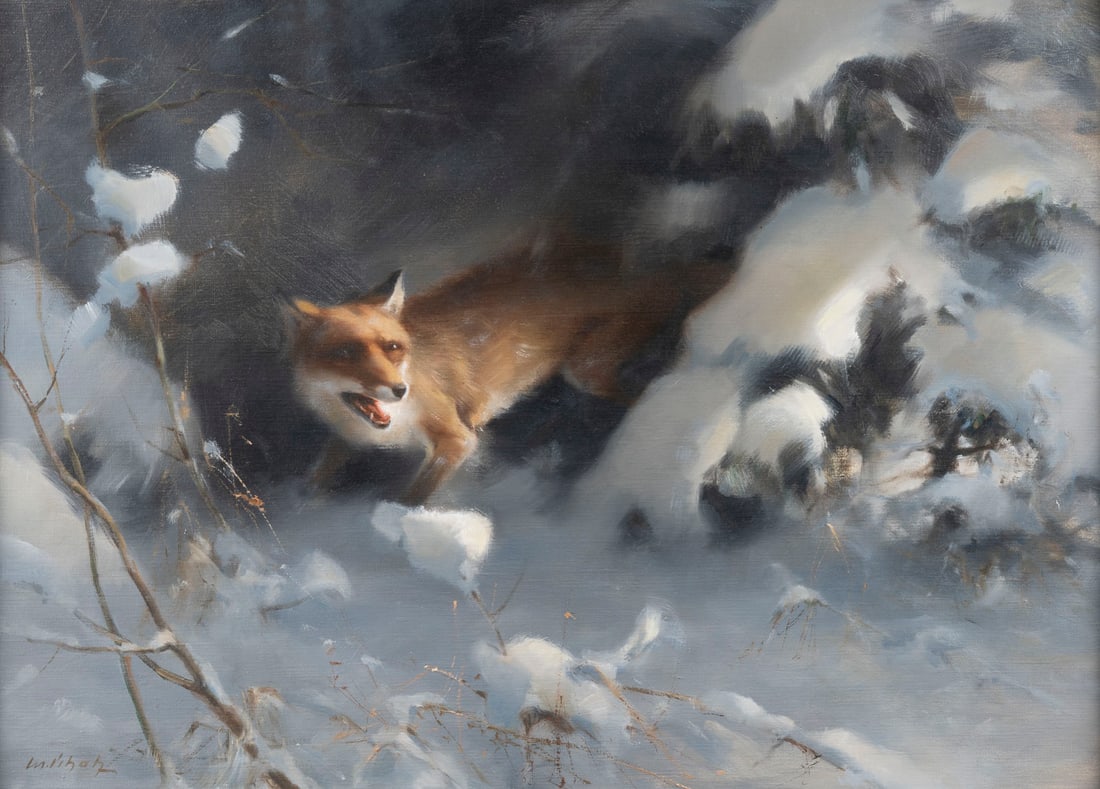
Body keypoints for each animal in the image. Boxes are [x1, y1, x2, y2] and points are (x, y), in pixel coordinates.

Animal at [286, 236, 730, 504]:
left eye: (392, 348)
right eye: (346, 352)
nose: (398, 390)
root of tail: (626, 279)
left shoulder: (457, 438)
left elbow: (410, 498)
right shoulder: (347, 437)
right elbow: (317, 474)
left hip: (585, 371)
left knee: (652, 391)